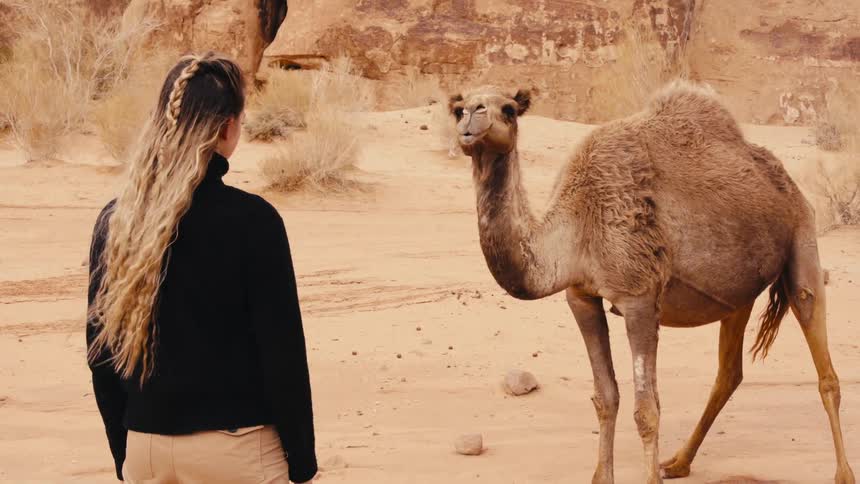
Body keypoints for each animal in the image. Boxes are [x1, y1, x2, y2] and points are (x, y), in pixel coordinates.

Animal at [447, 81, 855, 484]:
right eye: (458, 108)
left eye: (509, 109)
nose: (472, 117)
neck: (578, 222)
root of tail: (785, 179)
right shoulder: (581, 296)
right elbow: (606, 397)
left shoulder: (639, 296)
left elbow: (646, 409)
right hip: (737, 294)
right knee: (728, 374)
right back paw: (677, 463)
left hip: (802, 236)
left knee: (823, 361)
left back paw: (844, 473)